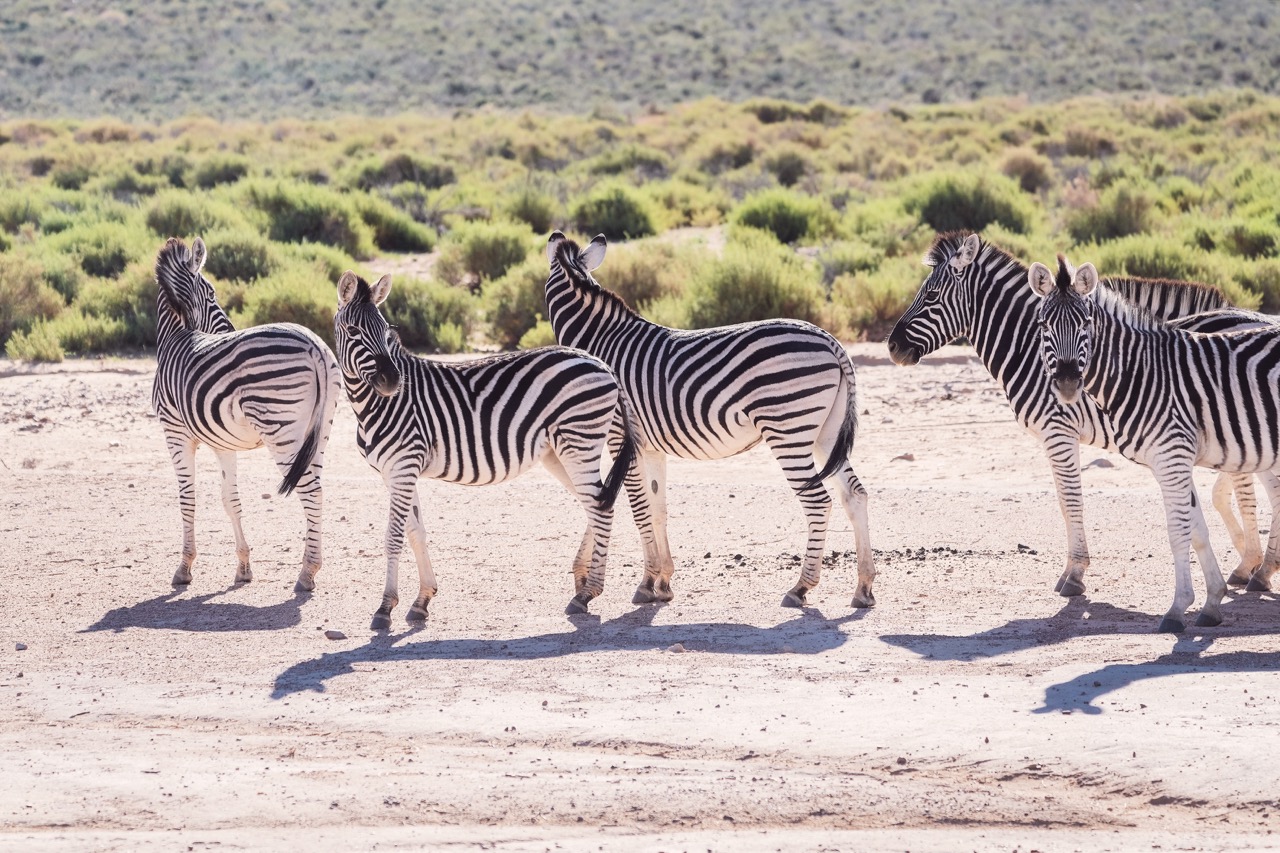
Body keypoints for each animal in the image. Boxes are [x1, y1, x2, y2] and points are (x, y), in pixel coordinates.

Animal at [152, 237, 341, 591]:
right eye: (212, 294)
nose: (230, 328)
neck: (175, 337)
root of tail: (315, 346)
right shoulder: (222, 443)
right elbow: (230, 499)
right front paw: (243, 567)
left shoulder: (175, 433)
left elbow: (187, 497)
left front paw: (184, 567)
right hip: (320, 431)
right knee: (319, 489)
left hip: (281, 429)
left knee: (309, 490)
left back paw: (307, 572)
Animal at [333, 270, 638, 629]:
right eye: (354, 331)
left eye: (385, 330)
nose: (392, 382)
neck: (377, 406)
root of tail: (602, 364)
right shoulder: (395, 473)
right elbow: (416, 532)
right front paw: (421, 601)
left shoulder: (404, 466)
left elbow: (394, 536)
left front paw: (384, 609)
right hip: (559, 451)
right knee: (598, 501)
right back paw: (583, 584)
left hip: (580, 441)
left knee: (600, 507)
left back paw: (588, 592)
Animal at [544, 232, 874, 609]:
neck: (601, 341)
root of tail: (831, 341)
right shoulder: (651, 448)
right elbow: (657, 508)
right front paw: (661, 582)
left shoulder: (619, 438)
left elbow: (633, 506)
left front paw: (642, 582)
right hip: (825, 433)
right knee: (854, 495)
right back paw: (864, 588)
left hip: (788, 429)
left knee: (819, 502)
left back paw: (801, 587)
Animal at [886, 232, 1271, 598]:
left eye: (931, 296)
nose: (892, 347)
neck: (1031, 350)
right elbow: (1063, 498)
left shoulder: (1058, 431)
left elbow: (1070, 500)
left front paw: (1074, 574)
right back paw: (1257, 568)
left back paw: (1256, 568)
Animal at [1029, 254, 1280, 632]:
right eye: (1043, 324)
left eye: (1086, 322)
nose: (1069, 383)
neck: (1142, 372)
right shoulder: (1170, 460)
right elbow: (1197, 529)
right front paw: (1212, 602)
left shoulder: (1173, 455)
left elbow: (1178, 531)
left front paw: (1177, 609)